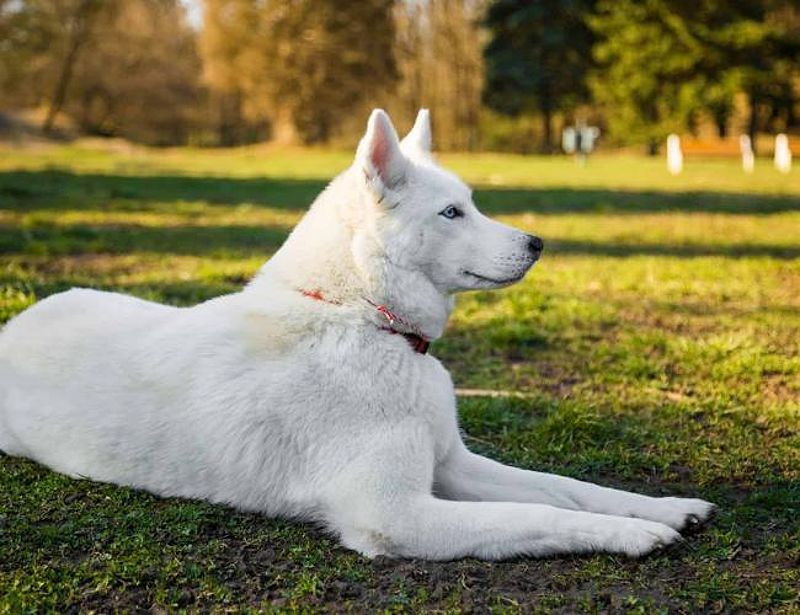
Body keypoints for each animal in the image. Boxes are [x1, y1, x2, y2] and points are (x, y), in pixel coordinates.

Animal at [0, 108, 712, 560]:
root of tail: (18, 323)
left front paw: (662, 508)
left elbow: (567, 488)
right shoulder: (396, 514)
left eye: (472, 203)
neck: (365, 318)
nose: (538, 244)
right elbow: (540, 515)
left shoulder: (453, 466)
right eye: (451, 212)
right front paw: (632, 537)